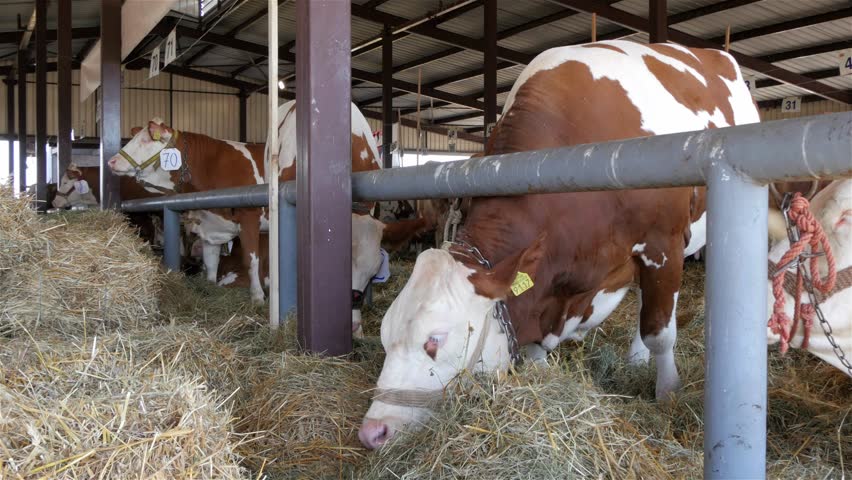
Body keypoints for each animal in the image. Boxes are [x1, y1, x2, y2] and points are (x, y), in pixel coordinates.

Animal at [356, 41, 764, 450]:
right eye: (385, 336)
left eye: (434, 340)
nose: (372, 431)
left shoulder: (662, 245)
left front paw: (668, 394)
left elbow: (659, 332)